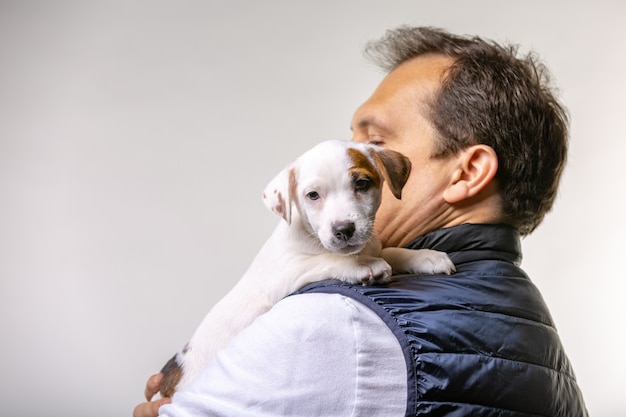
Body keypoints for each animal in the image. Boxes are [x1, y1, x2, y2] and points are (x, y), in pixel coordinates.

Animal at [156, 140, 454, 396]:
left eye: (362, 183)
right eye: (313, 195)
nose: (343, 229)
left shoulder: (372, 245)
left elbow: (391, 252)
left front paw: (427, 257)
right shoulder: (284, 273)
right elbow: (327, 260)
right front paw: (363, 266)